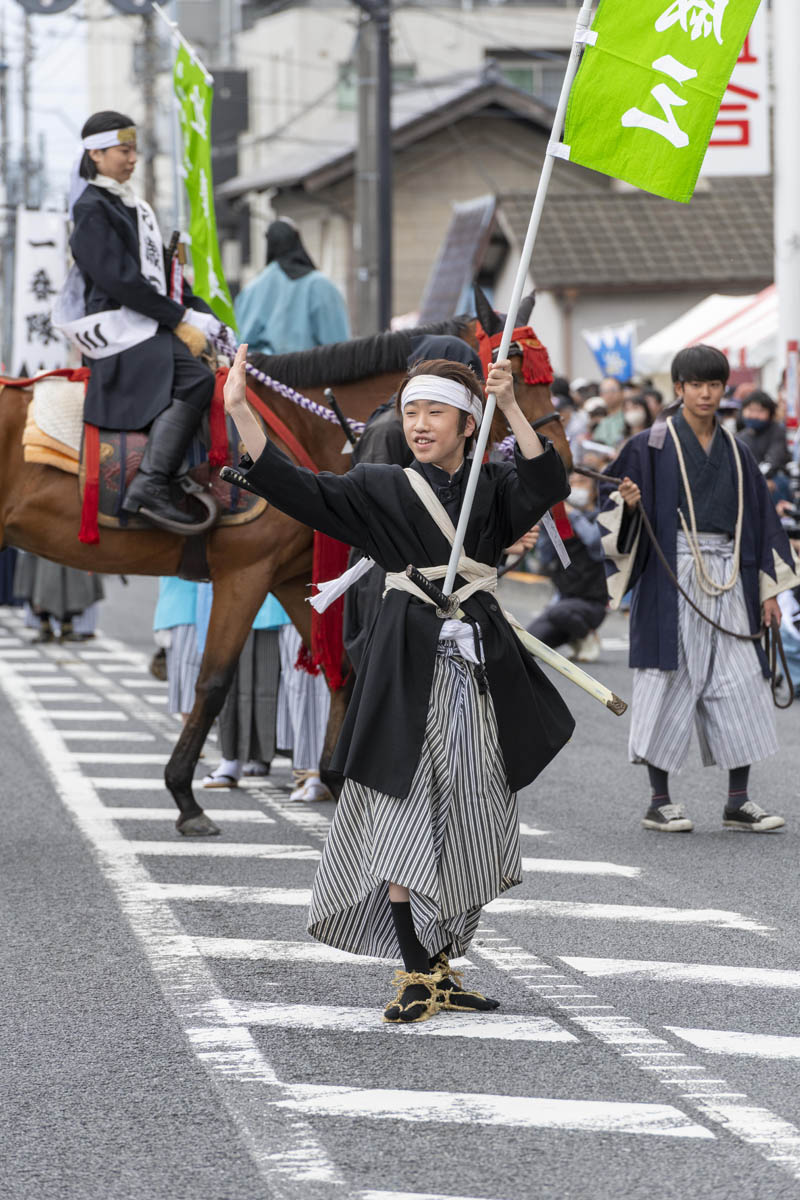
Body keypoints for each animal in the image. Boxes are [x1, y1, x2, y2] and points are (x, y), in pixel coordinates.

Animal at [1, 319, 575, 835]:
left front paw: (336, 773)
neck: (306, 427)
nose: (563, 461)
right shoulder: (245, 572)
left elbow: (343, 667)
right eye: (512, 372)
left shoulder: (286, 576)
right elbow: (214, 682)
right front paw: (185, 796)